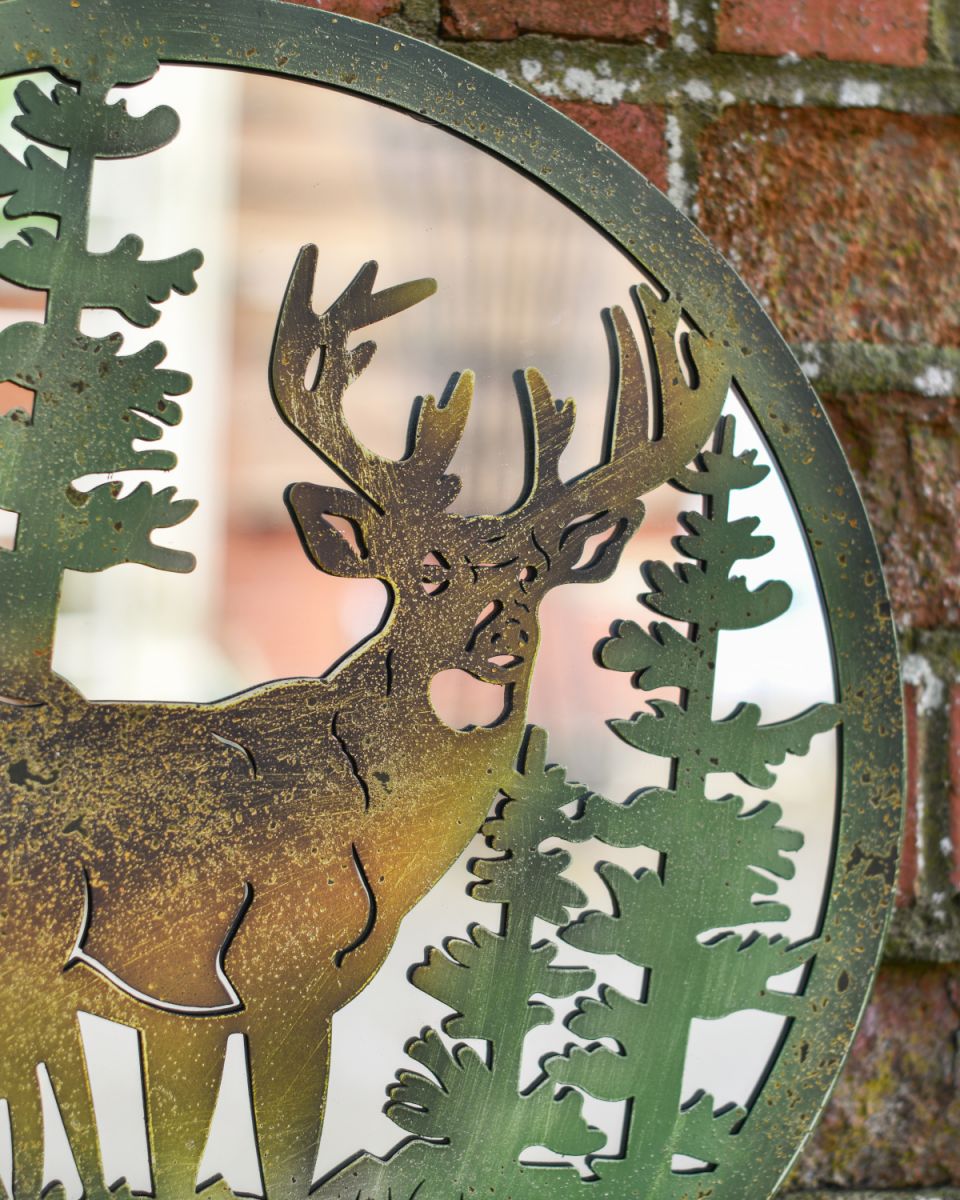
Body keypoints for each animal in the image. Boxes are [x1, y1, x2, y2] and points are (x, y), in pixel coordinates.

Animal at [0, 245, 729, 1199]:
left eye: (535, 575)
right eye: (426, 569)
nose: (503, 633)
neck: (381, 845)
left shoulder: (184, 1009)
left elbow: (176, 1158)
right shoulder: (282, 978)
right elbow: (283, 1160)